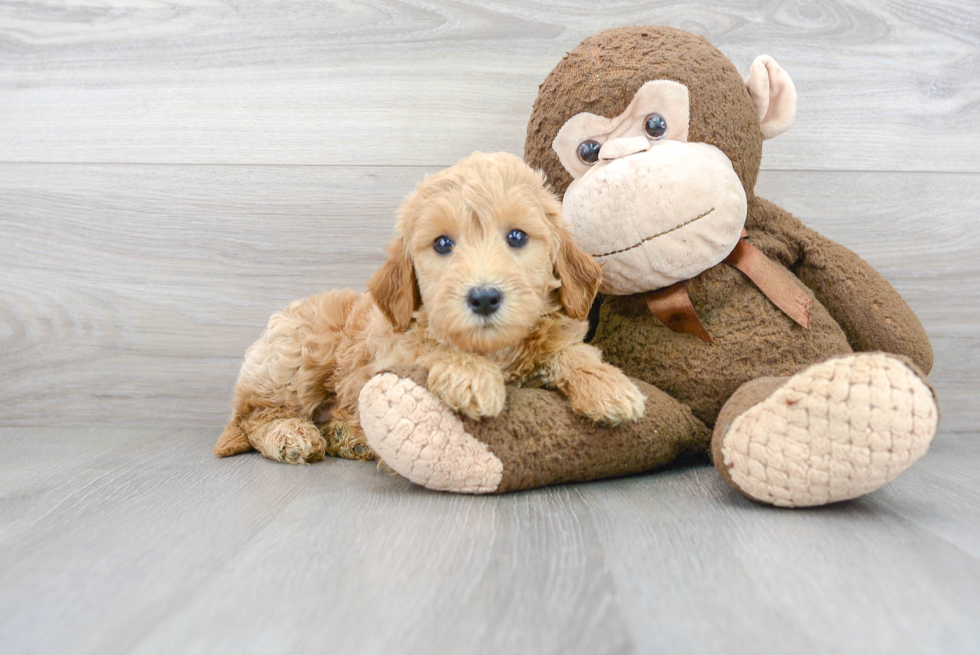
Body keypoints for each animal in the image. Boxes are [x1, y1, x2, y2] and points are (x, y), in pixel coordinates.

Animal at [213, 151, 644, 464]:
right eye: (442, 244)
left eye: (517, 237)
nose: (483, 297)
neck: (495, 350)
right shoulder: (392, 350)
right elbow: (430, 347)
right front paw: (471, 377)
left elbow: (572, 352)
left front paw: (608, 386)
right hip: (299, 353)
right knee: (253, 415)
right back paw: (293, 434)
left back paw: (347, 437)